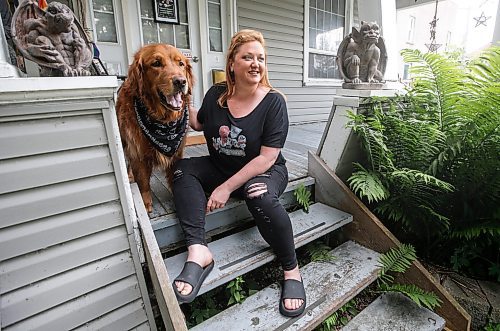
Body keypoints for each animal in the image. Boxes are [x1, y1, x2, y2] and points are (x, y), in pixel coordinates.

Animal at [117, 44, 193, 213]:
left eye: (181, 64)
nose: (181, 81)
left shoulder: (177, 152)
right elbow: (143, 181)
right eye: (156, 63)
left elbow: (173, 175)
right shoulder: (138, 151)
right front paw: (146, 204)